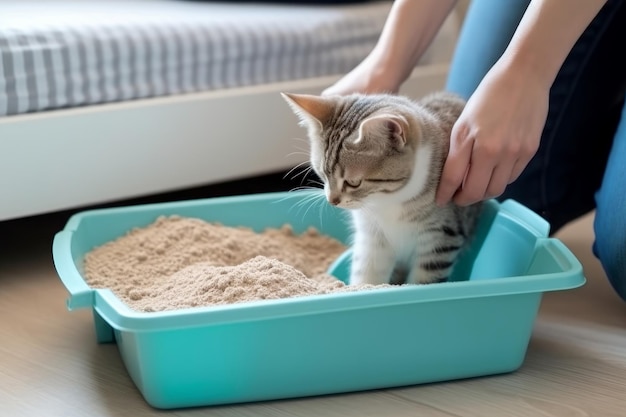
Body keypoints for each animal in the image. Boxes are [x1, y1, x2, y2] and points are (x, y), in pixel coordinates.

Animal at [280, 91, 480, 284]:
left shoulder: (441, 237)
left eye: (353, 183)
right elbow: (367, 275)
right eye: (322, 174)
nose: (332, 201)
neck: (386, 199)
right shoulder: (372, 237)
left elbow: (424, 280)